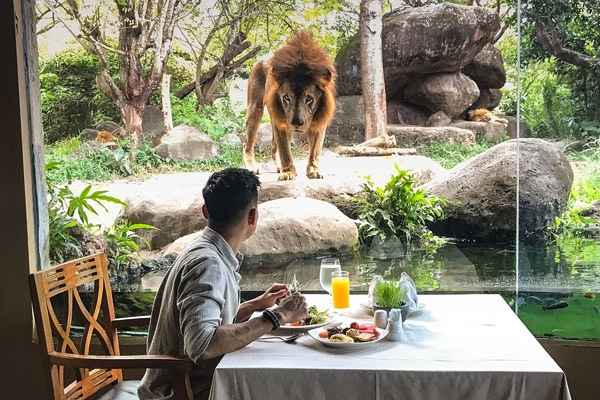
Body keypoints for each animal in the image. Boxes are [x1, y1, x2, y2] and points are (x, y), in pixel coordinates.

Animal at [244, 30, 338, 180]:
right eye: (286, 97)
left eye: (309, 98)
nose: (296, 123)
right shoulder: (281, 121)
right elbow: (285, 150)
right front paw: (288, 172)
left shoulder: (320, 119)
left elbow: (315, 149)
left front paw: (314, 170)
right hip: (255, 108)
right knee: (248, 143)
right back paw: (252, 167)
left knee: (273, 145)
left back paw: (278, 166)